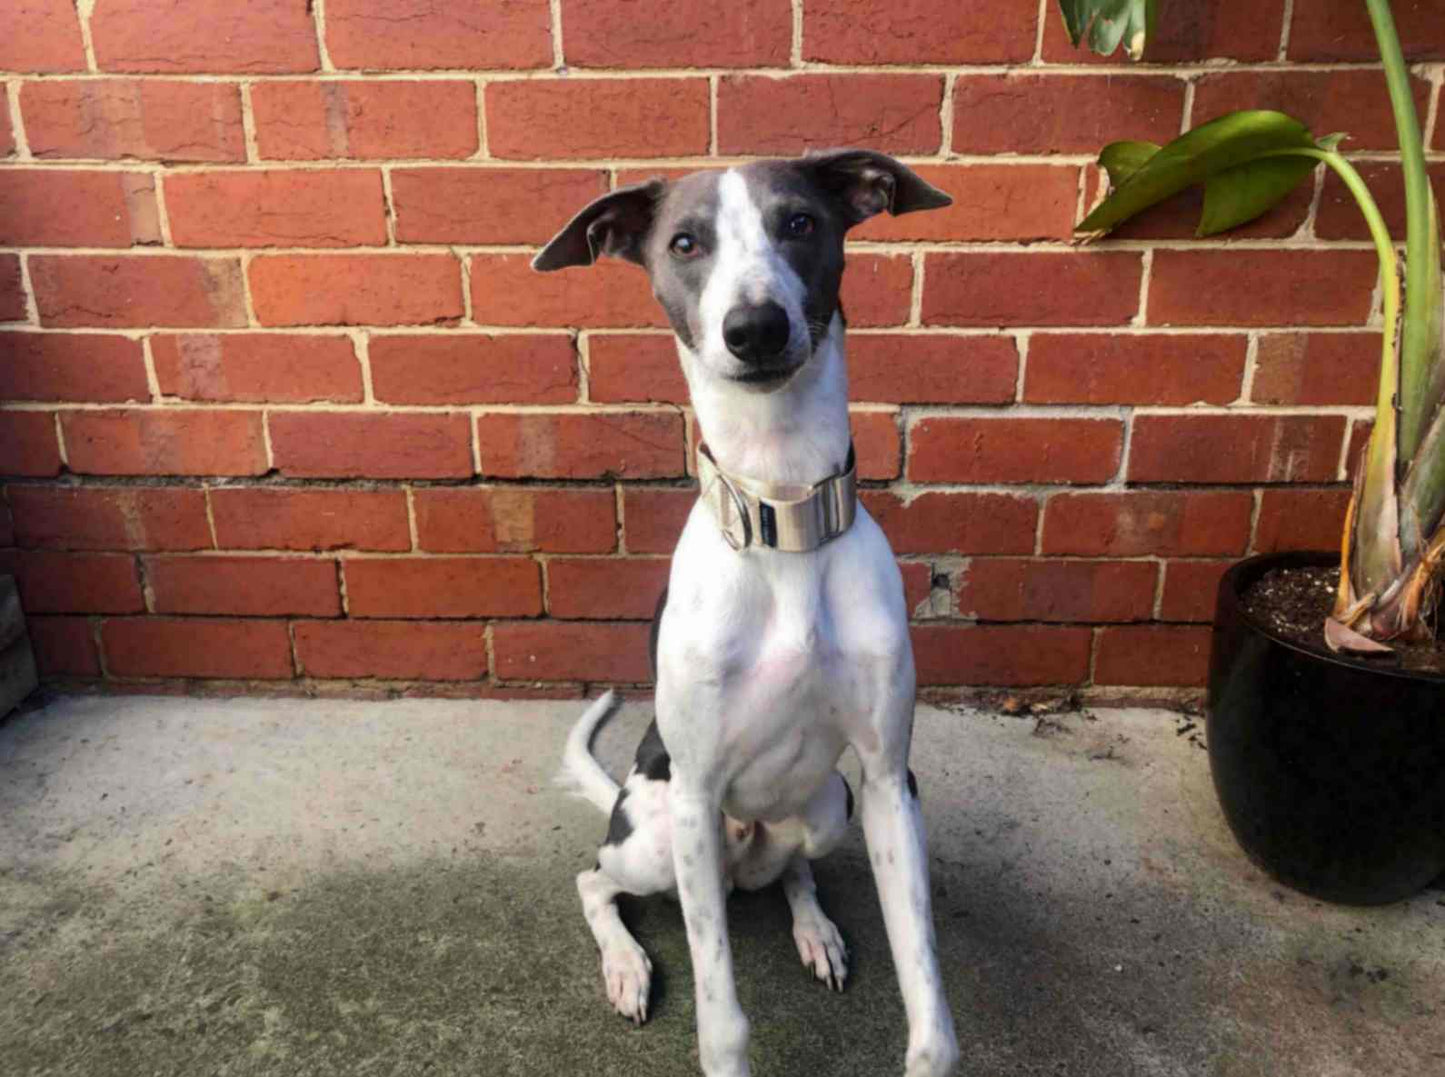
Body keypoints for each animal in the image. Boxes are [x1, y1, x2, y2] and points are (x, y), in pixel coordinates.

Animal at [543, 151, 959, 1075]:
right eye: (684, 242)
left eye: (799, 222)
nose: (756, 328)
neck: (784, 512)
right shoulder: (697, 796)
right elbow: (722, 1018)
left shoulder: (888, 781)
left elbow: (930, 1009)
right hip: (655, 837)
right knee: (594, 879)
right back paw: (625, 964)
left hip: (830, 804)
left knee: (797, 871)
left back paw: (816, 930)